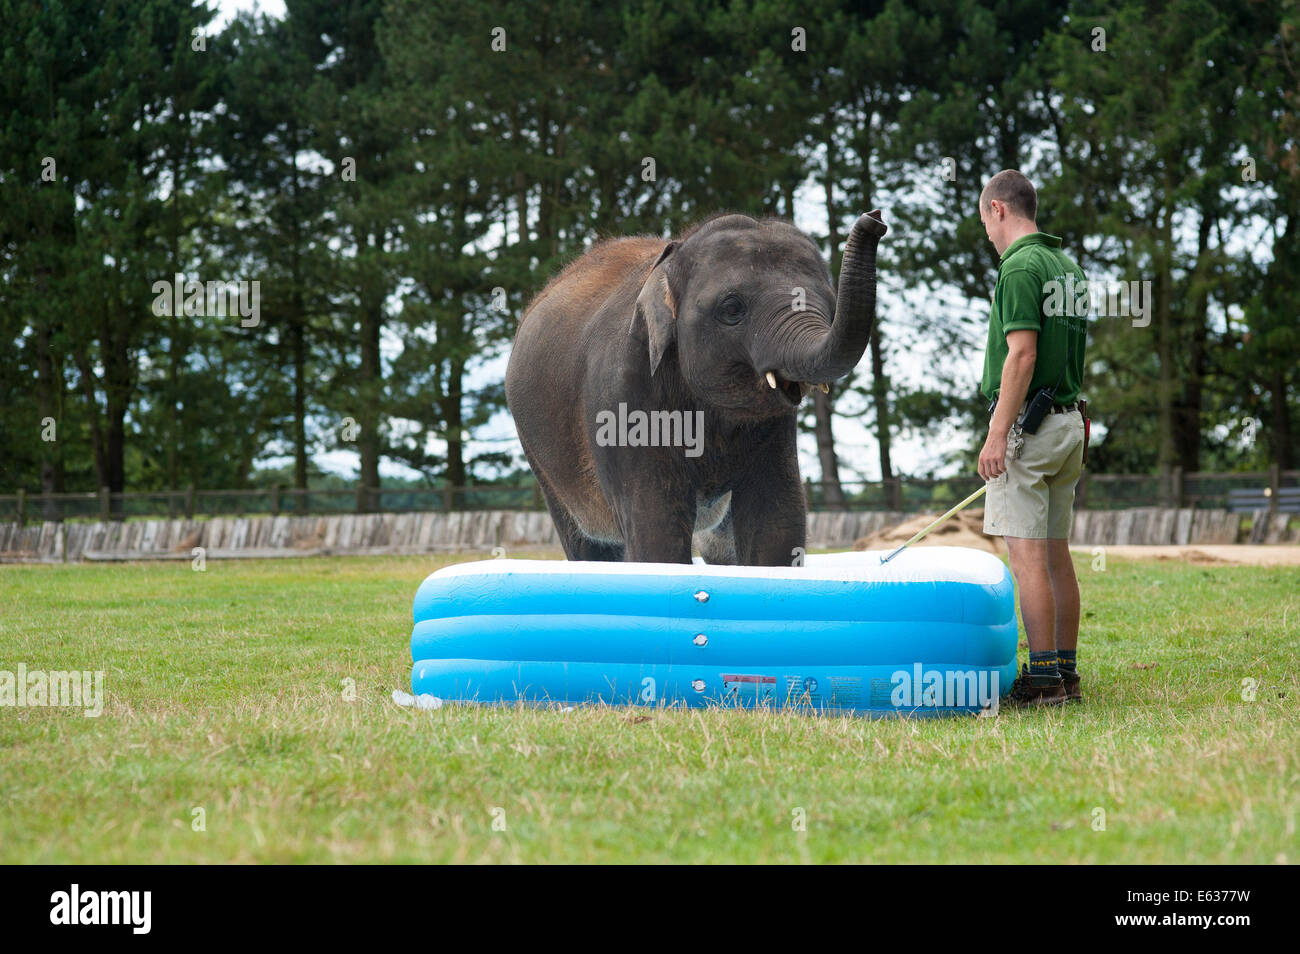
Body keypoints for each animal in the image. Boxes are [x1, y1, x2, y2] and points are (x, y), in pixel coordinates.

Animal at [505, 209, 888, 565]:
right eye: (732, 308)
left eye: (829, 302)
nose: (875, 219)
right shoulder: (620, 393)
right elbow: (656, 527)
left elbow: (777, 521)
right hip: (541, 456)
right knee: (587, 544)